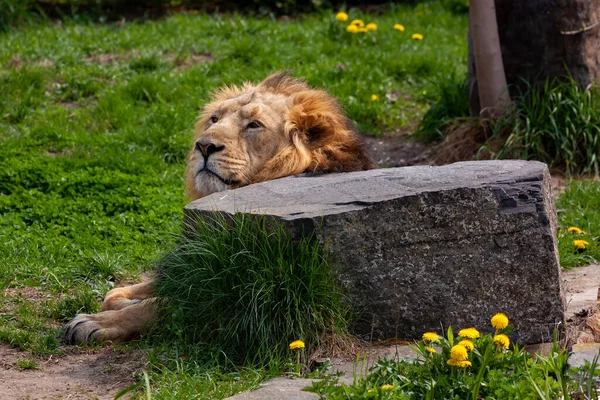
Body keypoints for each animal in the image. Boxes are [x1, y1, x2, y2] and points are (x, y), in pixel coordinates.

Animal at [65, 72, 376, 344]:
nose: (203, 146)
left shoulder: (228, 295)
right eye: (214, 119)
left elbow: (159, 305)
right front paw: (127, 300)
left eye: (254, 125)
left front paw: (97, 322)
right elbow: (115, 293)